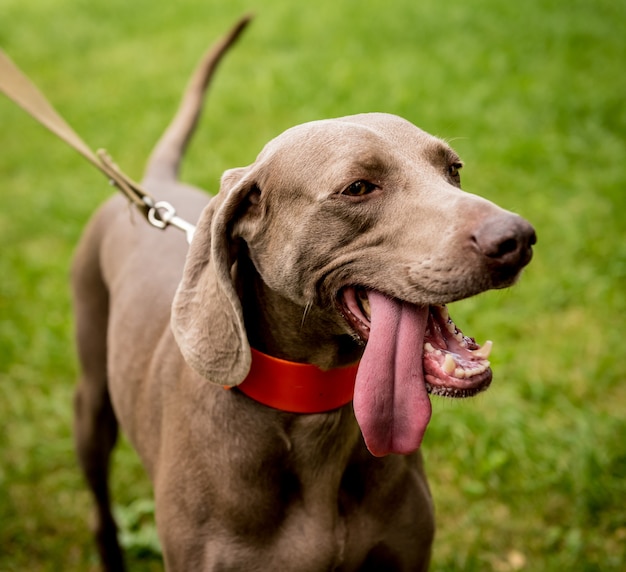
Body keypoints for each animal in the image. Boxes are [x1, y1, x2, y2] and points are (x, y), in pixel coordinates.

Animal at [72, 17, 532, 572]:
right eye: (358, 187)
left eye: (454, 169)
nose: (516, 239)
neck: (316, 413)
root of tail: (152, 186)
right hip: (92, 404)